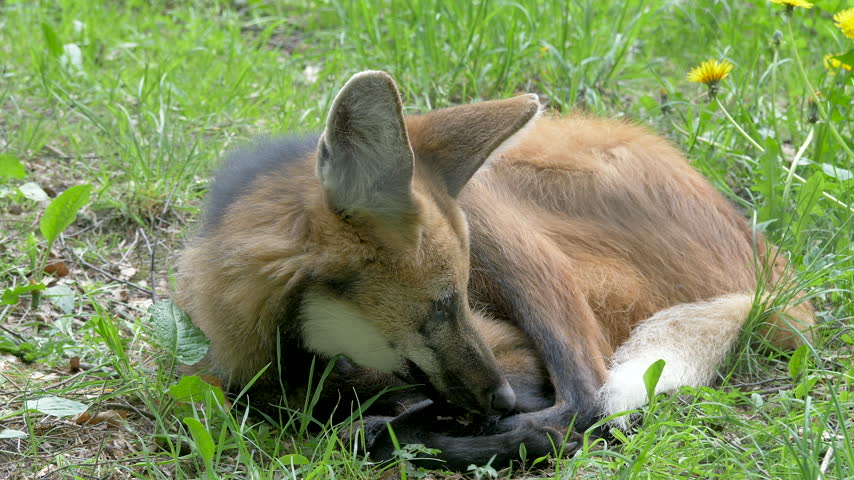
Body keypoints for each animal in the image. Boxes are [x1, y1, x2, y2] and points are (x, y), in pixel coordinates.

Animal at [175, 71, 815, 470]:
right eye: (440, 304)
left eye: (461, 296)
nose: (503, 401)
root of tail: (768, 263)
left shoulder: (508, 354)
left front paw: (408, 429)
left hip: (492, 205)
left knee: (585, 401)